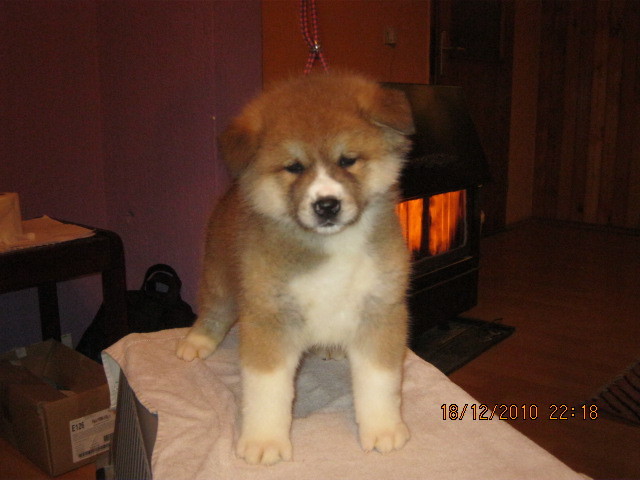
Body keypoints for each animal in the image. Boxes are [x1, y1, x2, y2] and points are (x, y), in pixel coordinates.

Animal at [176, 71, 416, 464]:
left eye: (348, 160)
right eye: (294, 167)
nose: (327, 205)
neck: (331, 246)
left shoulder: (380, 311)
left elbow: (380, 382)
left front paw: (382, 428)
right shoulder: (269, 318)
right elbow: (267, 389)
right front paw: (264, 441)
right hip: (219, 277)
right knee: (213, 310)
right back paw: (197, 342)